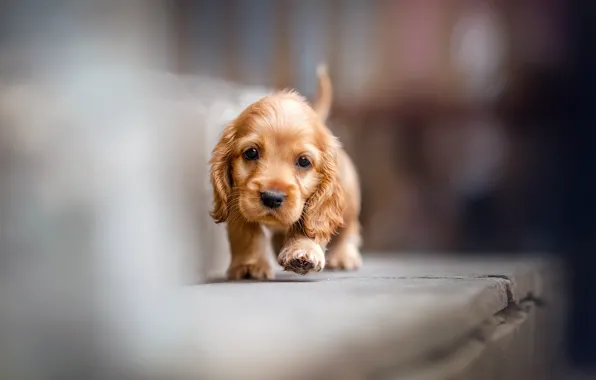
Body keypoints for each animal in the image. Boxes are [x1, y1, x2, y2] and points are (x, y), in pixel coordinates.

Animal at [210, 66, 360, 280]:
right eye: (251, 152)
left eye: (304, 161)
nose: (272, 198)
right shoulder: (236, 197)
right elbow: (245, 233)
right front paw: (249, 266)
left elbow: (309, 225)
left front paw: (302, 252)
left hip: (349, 198)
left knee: (349, 227)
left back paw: (343, 255)